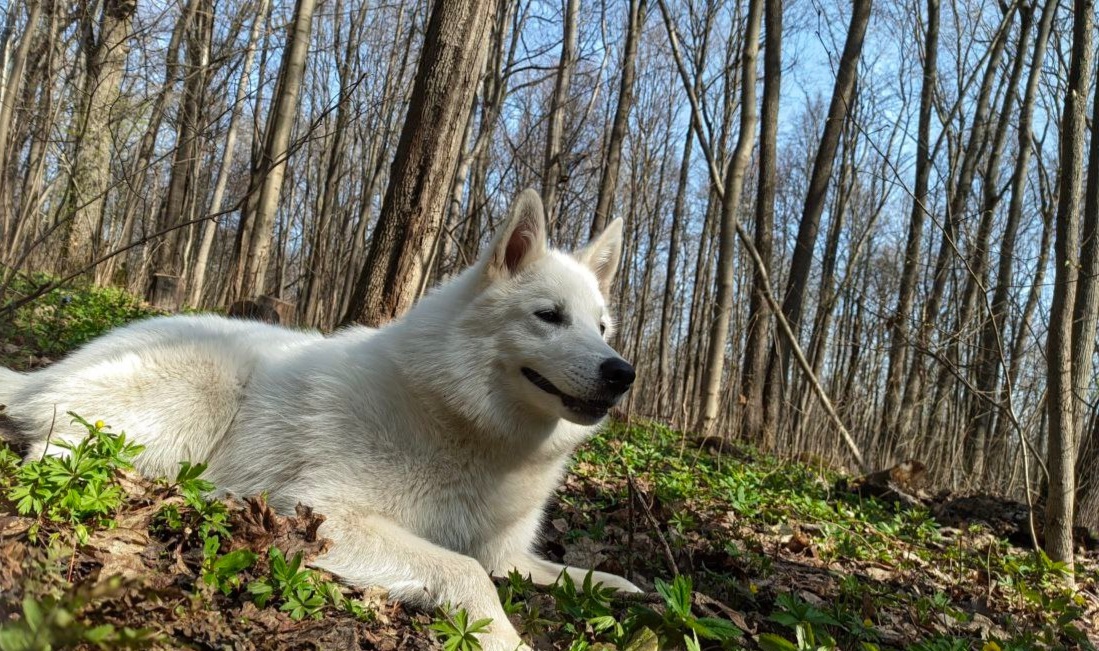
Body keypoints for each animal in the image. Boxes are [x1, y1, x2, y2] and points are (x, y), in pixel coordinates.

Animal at [0, 189, 641, 651]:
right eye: (549, 316)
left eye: (601, 327)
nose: (622, 372)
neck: (473, 425)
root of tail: (50, 371)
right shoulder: (332, 512)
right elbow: (466, 572)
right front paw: (507, 638)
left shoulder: (509, 555)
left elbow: (566, 574)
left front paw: (629, 588)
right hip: (205, 392)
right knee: (59, 451)